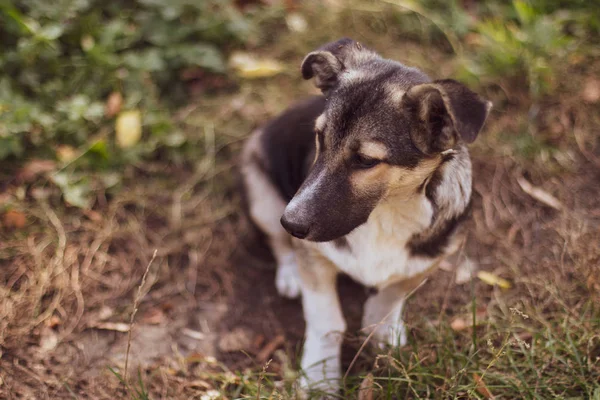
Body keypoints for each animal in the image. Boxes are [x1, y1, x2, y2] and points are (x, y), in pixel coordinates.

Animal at [239, 39, 492, 392]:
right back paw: (290, 273)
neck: (386, 212)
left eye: (366, 160)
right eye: (319, 138)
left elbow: (392, 294)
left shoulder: (430, 256)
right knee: (276, 241)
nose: (291, 223)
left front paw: (382, 331)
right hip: (261, 191)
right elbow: (326, 322)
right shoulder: (313, 254)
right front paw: (319, 378)